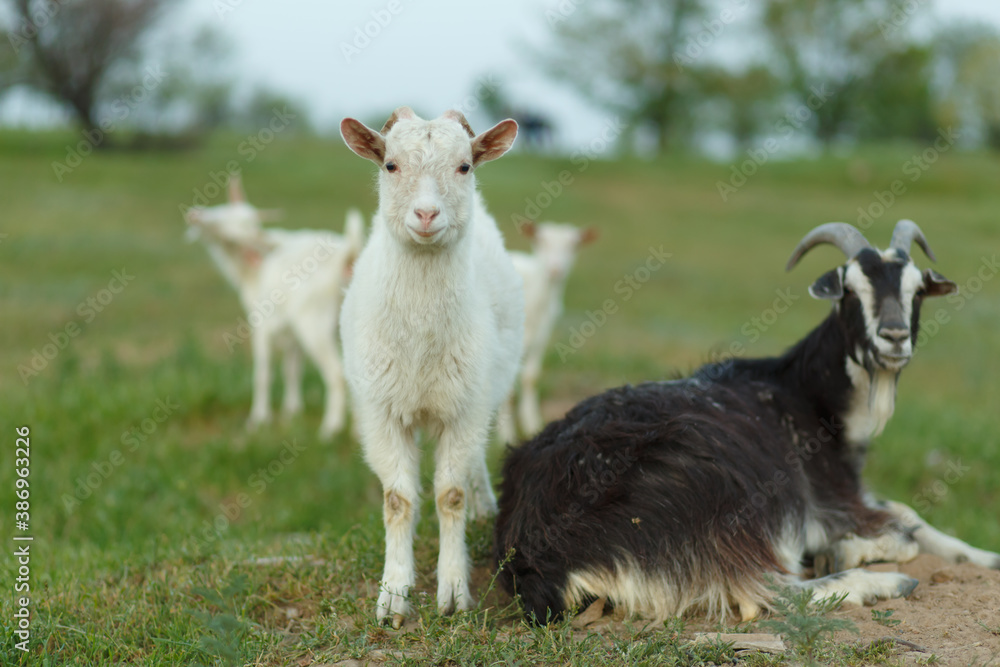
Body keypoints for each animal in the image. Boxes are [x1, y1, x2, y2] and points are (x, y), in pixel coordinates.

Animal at [184, 175, 363, 440]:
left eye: (232, 234)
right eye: (223, 210)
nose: (194, 215)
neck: (251, 272)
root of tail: (347, 256)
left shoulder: (262, 322)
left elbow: (263, 372)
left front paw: (258, 420)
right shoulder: (290, 331)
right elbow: (292, 367)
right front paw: (292, 411)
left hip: (313, 322)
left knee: (336, 373)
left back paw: (330, 429)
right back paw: (358, 430)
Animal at [339, 107, 523, 626]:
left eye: (465, 166)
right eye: (390, 165)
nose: (425, 215)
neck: (420, 345)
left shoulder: (463, 409)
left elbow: (449, 495)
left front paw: (454, 592)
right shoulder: (381, 412)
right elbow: (398, 501)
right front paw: (393, 597)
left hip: (484, 391)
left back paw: (484, 506)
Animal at [497, 222, 598, 443]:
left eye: (573, 245)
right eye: (541, 241)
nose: (555, 270)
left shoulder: (542, 336)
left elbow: (531, 377)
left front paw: (532, 424)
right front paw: (506, 436)